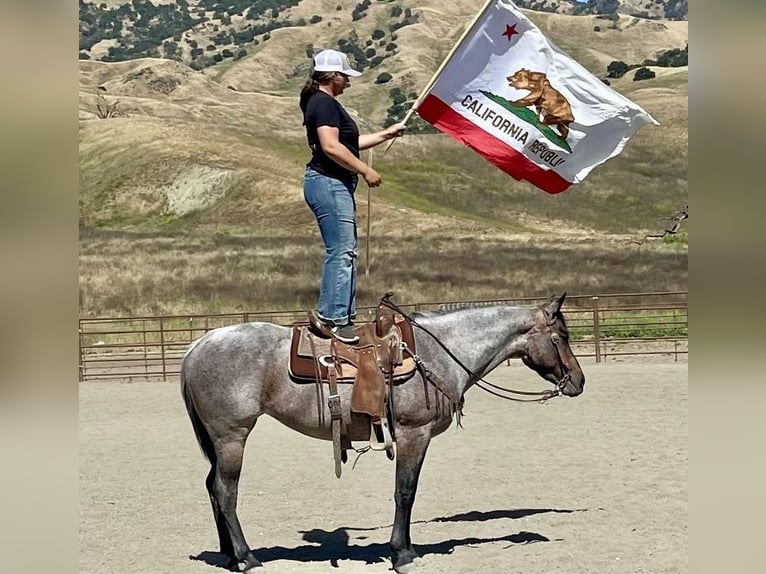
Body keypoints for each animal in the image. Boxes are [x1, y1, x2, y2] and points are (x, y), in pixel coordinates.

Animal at [182, 294, 588, 572]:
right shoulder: (413, 434)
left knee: (212, 488)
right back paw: (247, 558)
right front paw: (403, 553)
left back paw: (228, 555)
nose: (579, 381)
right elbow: (405, 492)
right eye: (562, 337)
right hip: (232, 436)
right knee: (225, 491)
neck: (439, 351)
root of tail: (197, 345)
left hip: (220, 441)